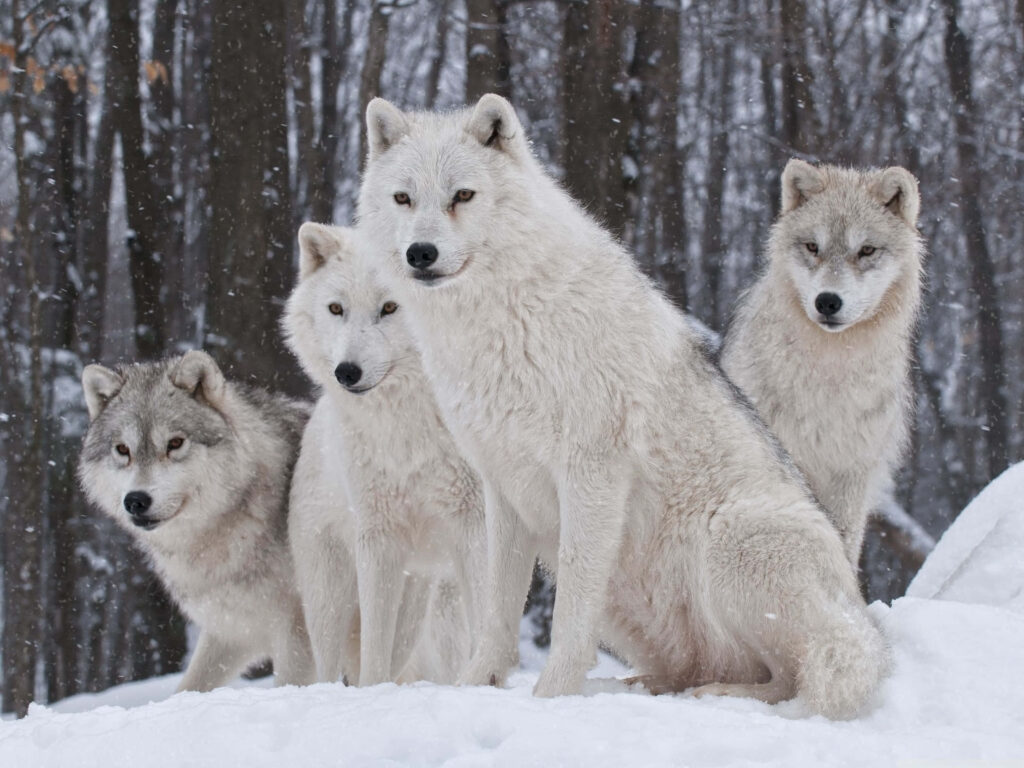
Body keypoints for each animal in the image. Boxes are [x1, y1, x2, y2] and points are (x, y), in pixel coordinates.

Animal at [78, 351, 316, 692]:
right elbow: (189, 687)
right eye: (123, 450)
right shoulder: (232, 630)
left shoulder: (299, 631)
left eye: (175, 443)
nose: (136, 501)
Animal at [282, 222, 485, 687]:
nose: (346, 372)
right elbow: (374, 651)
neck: (410, 426)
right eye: (336, 309)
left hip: (425, 600)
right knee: (331, 666)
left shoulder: (475, 525)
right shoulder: (378, 539)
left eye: (391, 307)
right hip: (331, 596)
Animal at [356, 94, 888, 718]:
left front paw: (551, 698)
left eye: (462, 195)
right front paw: (474, 687)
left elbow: (569, 615)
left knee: (794, 675)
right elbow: (496, 612)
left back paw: (718, 695)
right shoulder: (503, 486)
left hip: (731, 539)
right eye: (403, 198)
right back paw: (642, 687)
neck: (503, 321)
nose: (421, 253)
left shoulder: (592, 475)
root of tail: (862, 618)